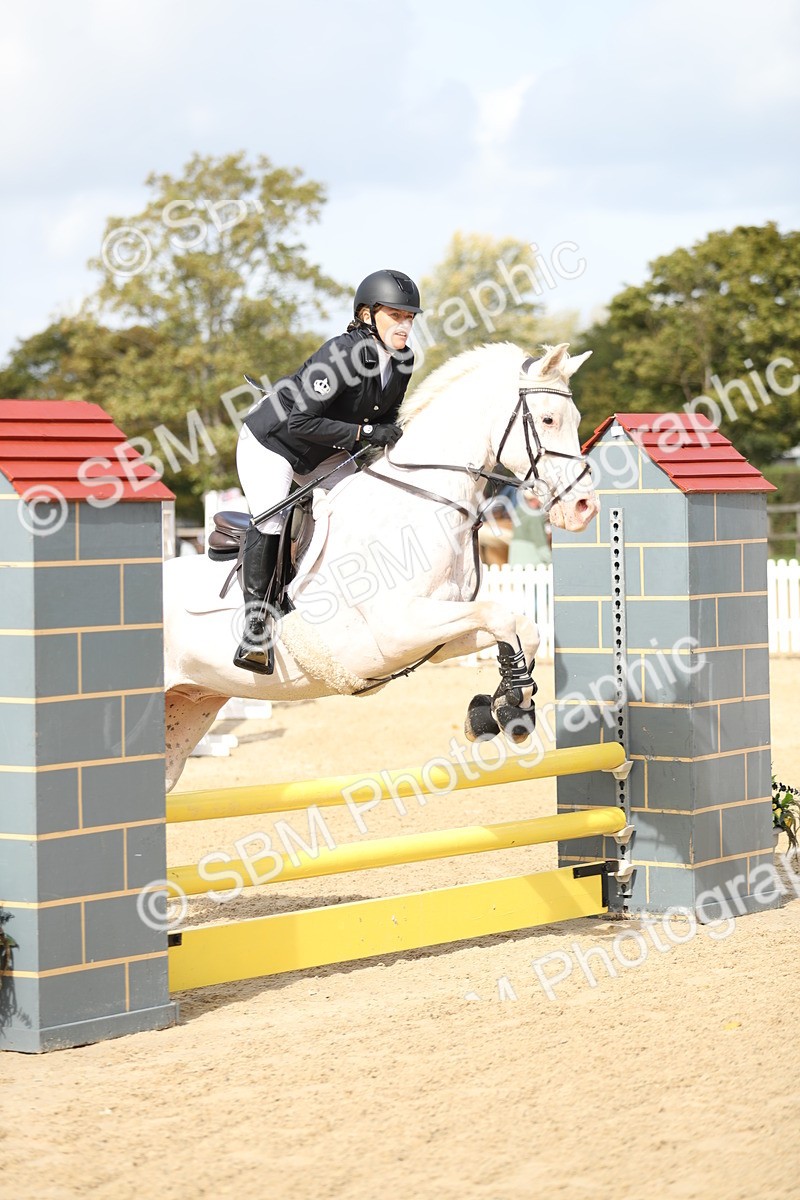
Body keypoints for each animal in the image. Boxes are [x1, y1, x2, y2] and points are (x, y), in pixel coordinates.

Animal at [162, 341, 599, 791]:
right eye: (548, 419)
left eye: (577, 420)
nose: (584, 507)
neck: (424, 499)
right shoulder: (397, 630)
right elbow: (500, 615)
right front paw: (508, 705)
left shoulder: (437, 635)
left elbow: (520, 626)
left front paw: (499, 707)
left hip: (186, 712)